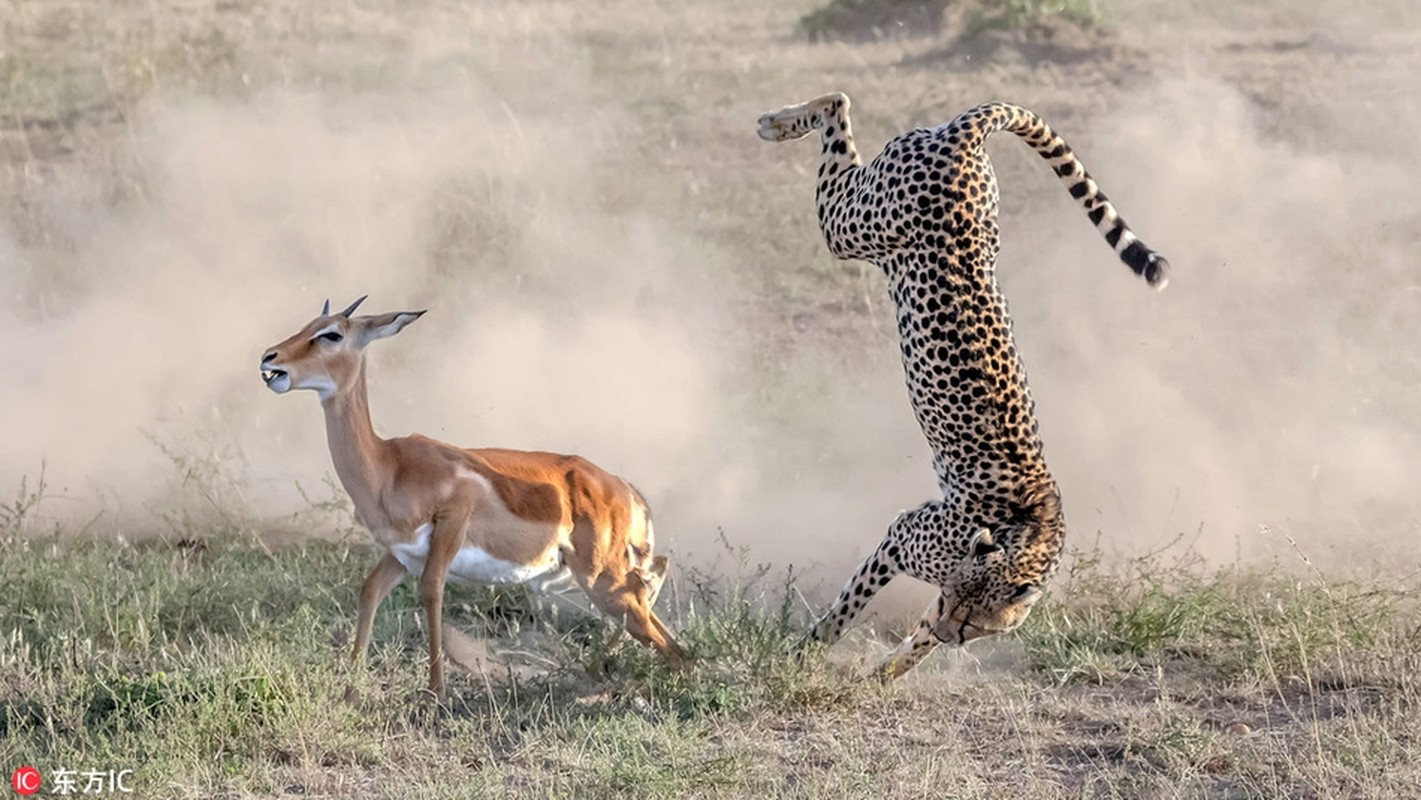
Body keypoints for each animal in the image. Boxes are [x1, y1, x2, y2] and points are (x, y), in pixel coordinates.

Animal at [761, 95, 1170, 682]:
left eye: (974, 621)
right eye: (959, 598)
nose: (950, 628)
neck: (1029, 534)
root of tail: (967, 136)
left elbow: (912, 647)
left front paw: (885, 674)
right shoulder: (901, 535)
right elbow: (851, 600)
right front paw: (811, 646)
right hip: (850, 226)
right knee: (836, 106)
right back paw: (775, 124)